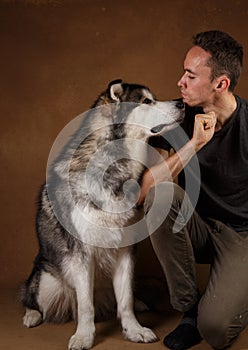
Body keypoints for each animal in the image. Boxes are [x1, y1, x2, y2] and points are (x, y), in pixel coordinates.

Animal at [21, 80, 184, 348]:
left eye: (154, 98)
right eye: (146, 101)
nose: (182, 102)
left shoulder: (126, 250)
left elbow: (125, 301)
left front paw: (134, 330)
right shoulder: (81, 254)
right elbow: (86, 306)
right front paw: (83, 336)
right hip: (47, 282)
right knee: (31, 297)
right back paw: (32, 315)